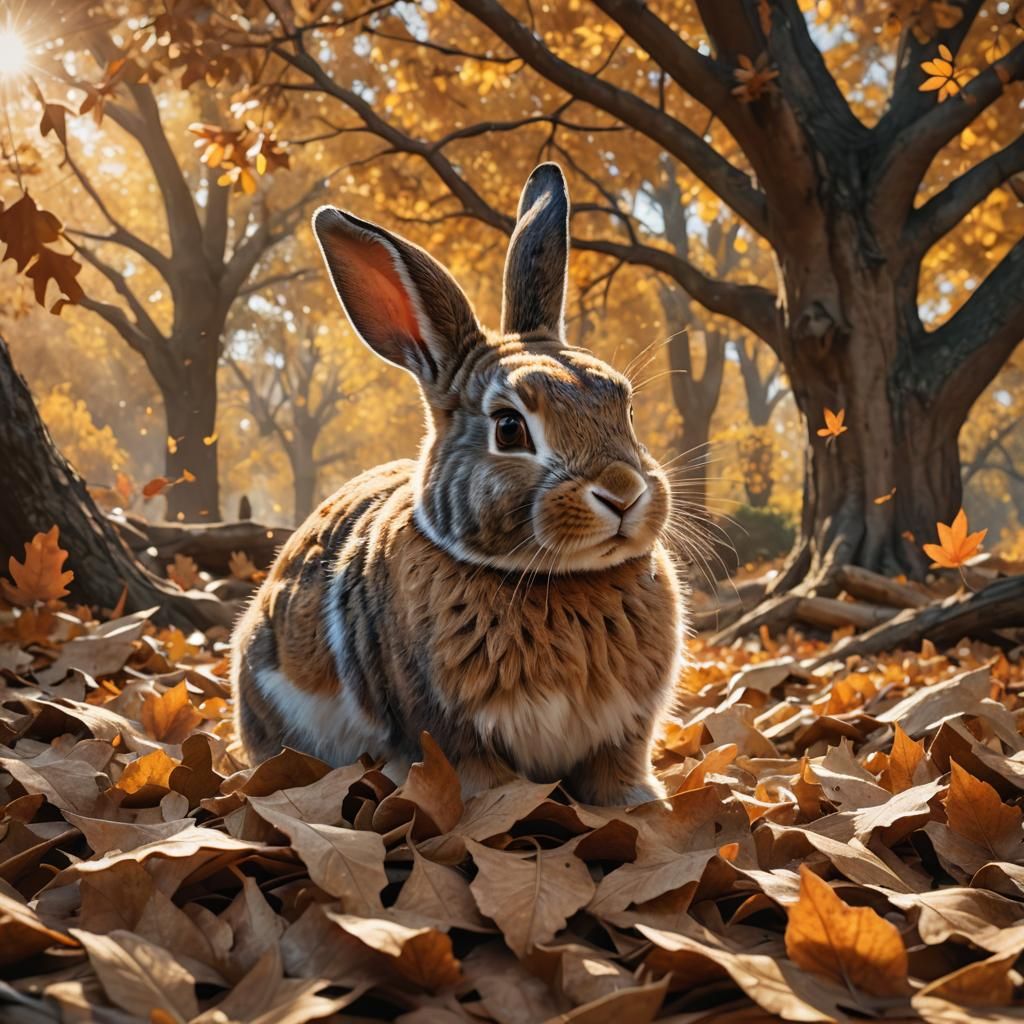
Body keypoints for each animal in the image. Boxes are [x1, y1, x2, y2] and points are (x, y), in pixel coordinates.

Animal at [231, 163, 685, 805]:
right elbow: (483, 783)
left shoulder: (623, 731)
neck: (557, 581)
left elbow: (619, 772)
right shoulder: (448, 731)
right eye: (509, 428)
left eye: (624, 405)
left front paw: (644, 805)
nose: (623, 493)